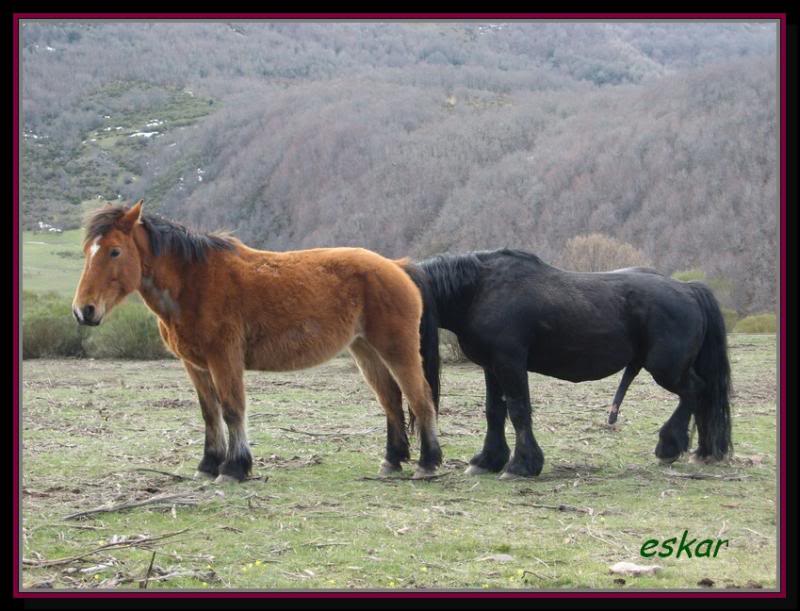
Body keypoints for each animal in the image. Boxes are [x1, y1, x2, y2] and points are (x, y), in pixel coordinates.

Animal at [71, 201, 440, 482]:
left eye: (115, 251)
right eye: (87, 251)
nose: (83, 310)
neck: (194, 282)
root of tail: (397, 266)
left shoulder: (224, 358)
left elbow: (232, 409)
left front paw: (234, 468)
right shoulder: (195, 365)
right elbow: (210, 413)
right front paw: (209, 464)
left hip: (397, 349)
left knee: (420, 398)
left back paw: (427, 463)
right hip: (365, 350)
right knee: (391, 400)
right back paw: (392, 460)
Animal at [416, 247, 736, 478]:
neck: (480, 290)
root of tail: (689, 289)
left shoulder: (510, 364)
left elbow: (519, 411)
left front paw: (522, 465)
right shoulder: (492, 368)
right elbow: (494, 412)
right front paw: (488, 460)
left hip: (667, 369)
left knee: (695, 391)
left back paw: (669, 445)